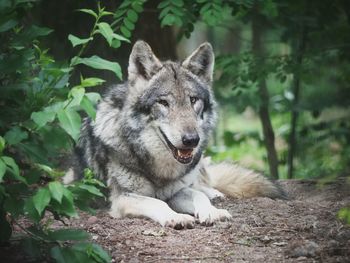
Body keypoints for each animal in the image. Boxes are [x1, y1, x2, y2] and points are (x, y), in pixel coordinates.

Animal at [65, 40, 284, 230]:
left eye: (193, 100)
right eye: (163, 102)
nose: (191, 140)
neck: (160, 170)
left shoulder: (176, 191)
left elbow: (197, 196)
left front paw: (212, 212)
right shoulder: (123, 197)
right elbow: (156, 203)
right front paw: (176, 217)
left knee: (203, 183)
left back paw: (214, 193)